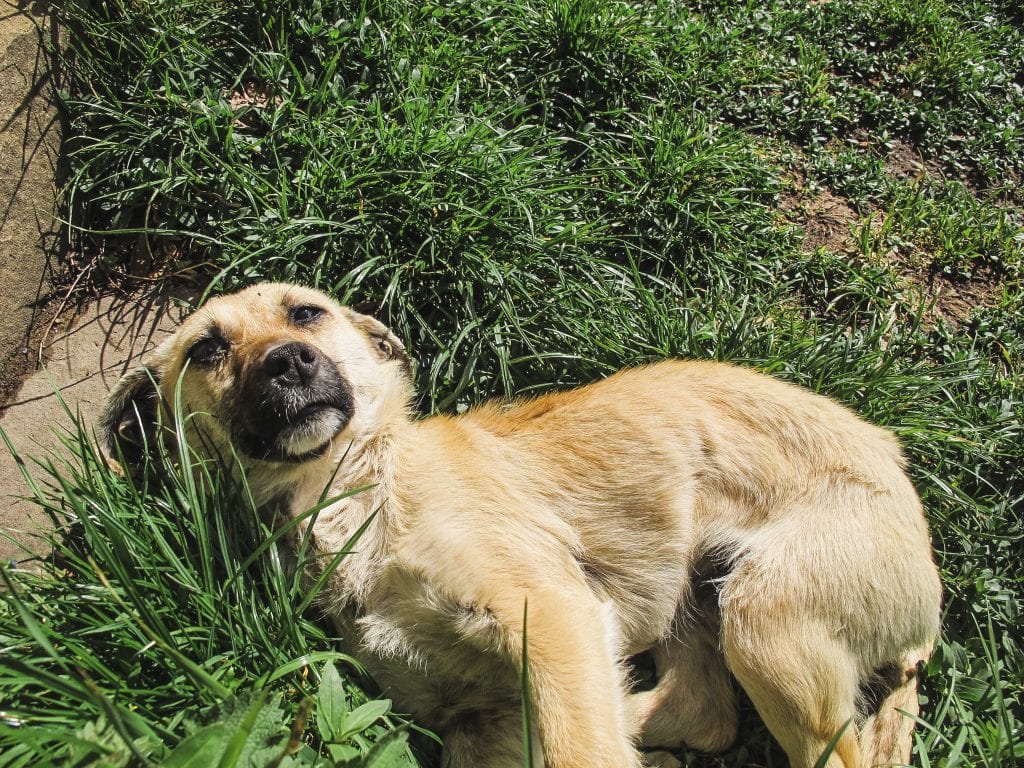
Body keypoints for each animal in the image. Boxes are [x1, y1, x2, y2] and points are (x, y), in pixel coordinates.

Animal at [99, 282, 937, 768]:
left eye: (306, 313)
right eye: (209, 348)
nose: (286, 362)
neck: (357, 489)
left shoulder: (548, 611)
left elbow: (578, 747)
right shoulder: (470, 712)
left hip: (768, 620)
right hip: (695, 602)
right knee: (704, 714)